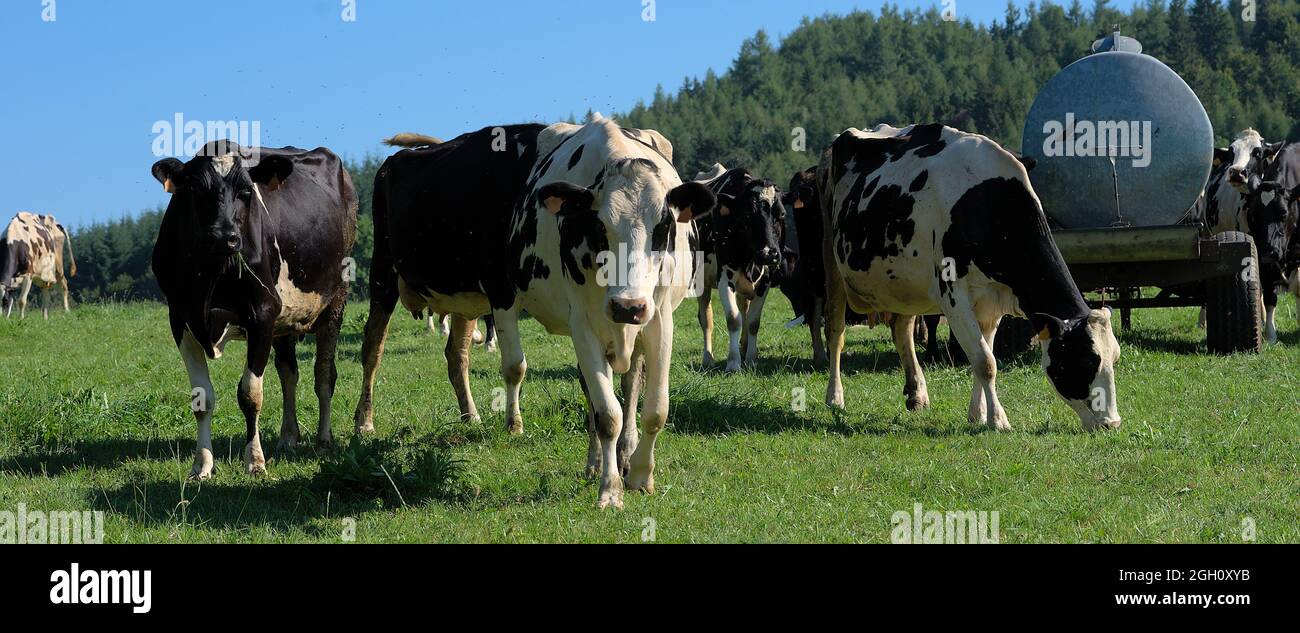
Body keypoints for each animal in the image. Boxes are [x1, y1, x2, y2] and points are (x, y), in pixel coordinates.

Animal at [150, 142, 356, 480]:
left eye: (246, 191)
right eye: (196, 189)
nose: (225, 237)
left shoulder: (262, 315)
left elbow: (250, 394)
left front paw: (255, 461)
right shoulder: (180, 319)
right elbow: (202, 398)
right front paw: (202, 464)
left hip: (334, 301)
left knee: (324, 375)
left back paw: (324, 439)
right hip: (285, 320)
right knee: (289, 374)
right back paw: (288, 437)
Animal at [351, 125, 543, 434]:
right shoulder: (500, 286)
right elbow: (515, 363)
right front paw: (514, 425)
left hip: (463, 296)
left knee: (456, 354)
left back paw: (470, 414)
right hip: (383, 270)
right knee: (373, 346)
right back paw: (364, 420)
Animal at [501, 115, 717, 509]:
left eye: (664, 226)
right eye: (598, 226)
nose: (627, 305)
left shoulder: (659, 319)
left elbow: (655, 409)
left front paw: (641, 476)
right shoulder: (583, 325)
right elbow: (606, 414)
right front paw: (610, 488)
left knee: (632, 385)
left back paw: (627, 455)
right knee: (593, 393)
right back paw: (598, 461)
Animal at [691, 163, 780, 371]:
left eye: (781, 215)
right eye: (748, 215)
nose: (769, 253)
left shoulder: (765, 281)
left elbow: (753, 321)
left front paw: (751, 359)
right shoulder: (725, 278)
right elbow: (733, 319)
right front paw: (733, 363)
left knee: (744, 311)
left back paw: (744, 347)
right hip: (702, 283)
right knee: (706, 318)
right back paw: (708, 358)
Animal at [821, 124, 1118, 431]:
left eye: (1115, 359)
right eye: (1086, 360)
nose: (1112, 423)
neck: (987, 205)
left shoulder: (992, 300)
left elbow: (984, 356)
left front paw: (978, 414)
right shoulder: (953, 293)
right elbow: (986, 362)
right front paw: (998, 420)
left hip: (904, 284)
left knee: (902, 330)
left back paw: (917, 393)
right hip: (831, 260)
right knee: (835, 332)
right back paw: (835, 398)